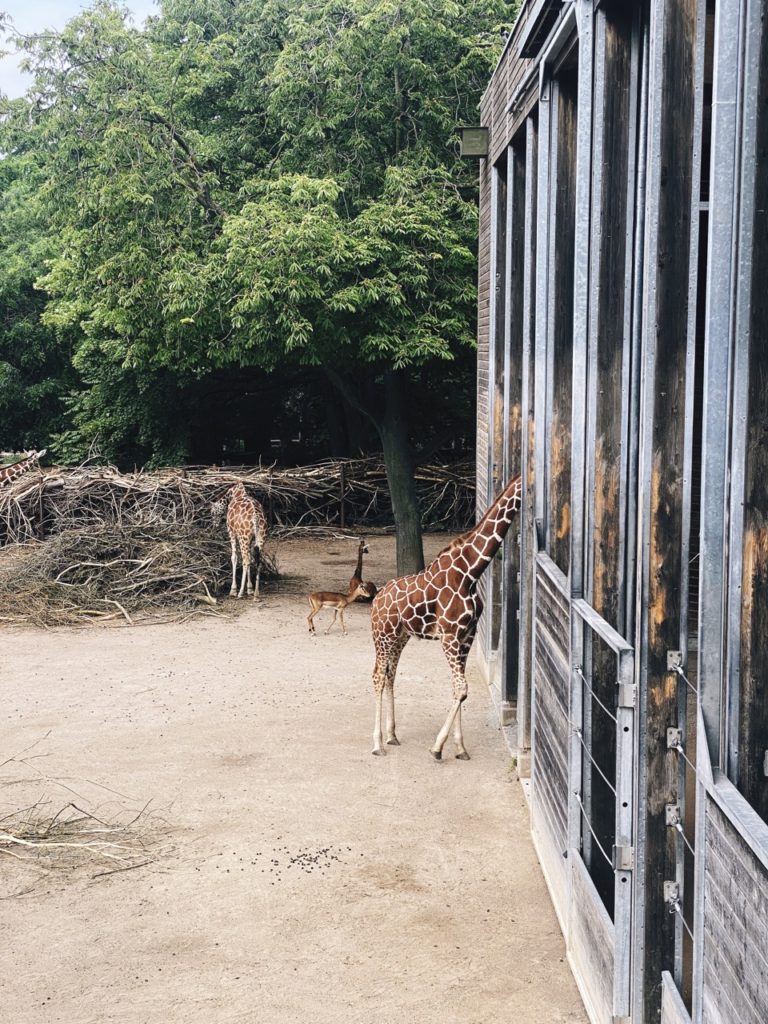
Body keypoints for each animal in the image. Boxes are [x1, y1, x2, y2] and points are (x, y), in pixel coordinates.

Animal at [369, 474, 522, 759]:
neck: (470, 572)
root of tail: (376, 598)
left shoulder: (466, 635)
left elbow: (458, 688)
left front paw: (460, 748)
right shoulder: (449, 635)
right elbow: (461, 688)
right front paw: (437, 747)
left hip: (400, 636)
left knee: (391, 673)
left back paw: (392, 735)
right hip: (382, 635)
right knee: (378, 676)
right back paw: (377, 744)